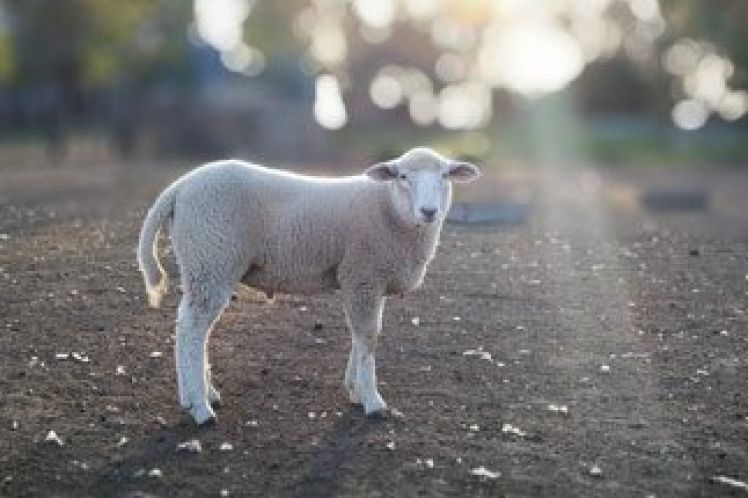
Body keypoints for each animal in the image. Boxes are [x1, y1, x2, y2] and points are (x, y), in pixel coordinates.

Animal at [137, 147, 480, 424]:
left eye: (445, 176)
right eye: (403, 176)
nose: (429, 211)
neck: (391, 210)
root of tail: (180, 186)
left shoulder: (368, 280)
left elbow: (362, 335)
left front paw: (354, 390)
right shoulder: (362, 274)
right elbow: (368, 337)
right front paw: (372, 401)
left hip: (202, 263)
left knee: (191, 327)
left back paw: (200, 395)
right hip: (211, 257)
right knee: (192, 330)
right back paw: (200, 407)